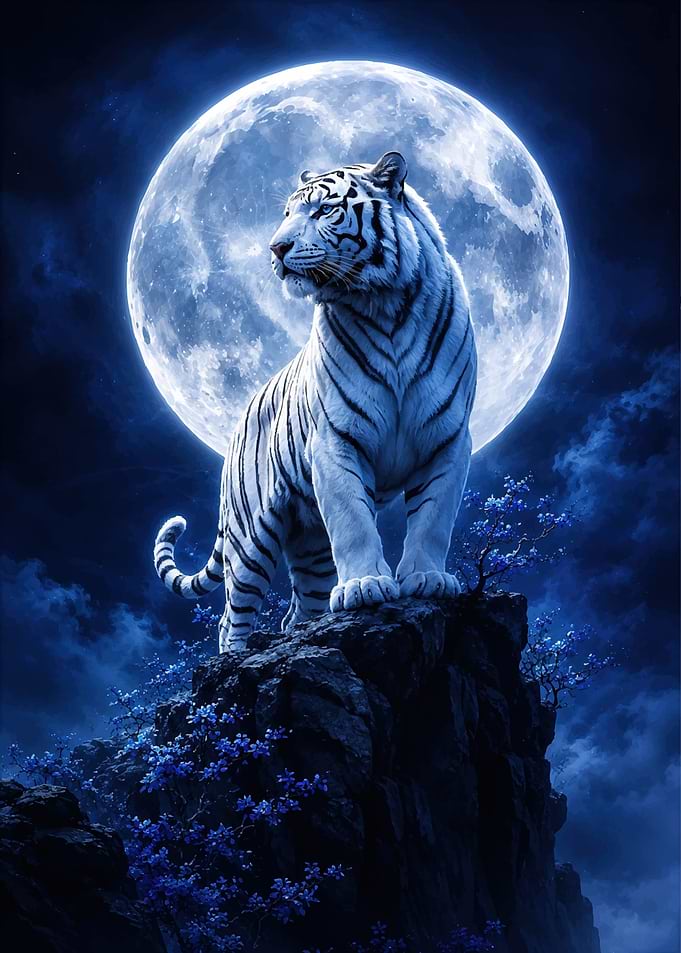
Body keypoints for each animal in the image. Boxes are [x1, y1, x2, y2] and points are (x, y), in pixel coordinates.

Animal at [154, 152, 477, 653]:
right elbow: (354, 521)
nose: (276, 249)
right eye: (287, 214)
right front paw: (365, 587)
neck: (385, 305)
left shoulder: (447, 439)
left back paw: (309, 636)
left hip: (311, 546)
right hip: (252, 540)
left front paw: (426, 580)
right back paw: (235, 658)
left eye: (324, 211)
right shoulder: (334, 440)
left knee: (298, 612)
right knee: (232, 619)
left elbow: (433, 517)